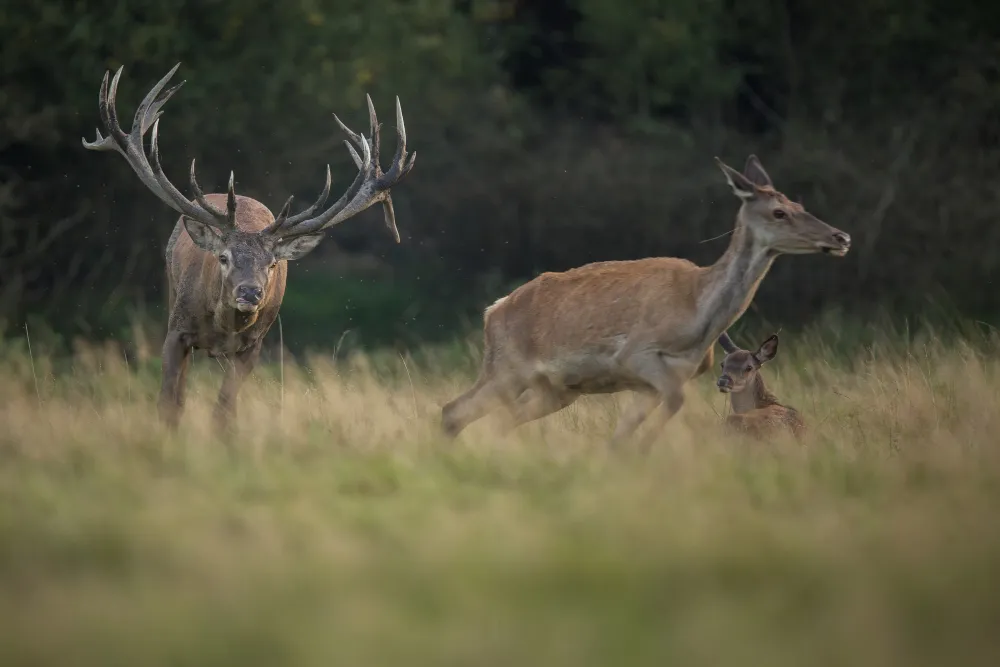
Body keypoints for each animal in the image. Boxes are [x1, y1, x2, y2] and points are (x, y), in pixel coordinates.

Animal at [81, 65, 418, 436]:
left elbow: (225, 412)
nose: (250, 293)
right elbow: (168, 403)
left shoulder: (252, 347)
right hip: (170, 291)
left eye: (272, 264)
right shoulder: (176, 331)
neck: (221, 326)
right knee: (179, 391)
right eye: (223, 257)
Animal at [442, 155, 848, 448]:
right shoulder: (636, 354)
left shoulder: (657, 381)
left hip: (555, 389)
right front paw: (646, 447)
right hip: (507, 367)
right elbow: (674, 404)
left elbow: (625, 432)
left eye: (799, 203)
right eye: (780, 212)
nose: (841, 237)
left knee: (498, 419)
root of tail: (493, 311)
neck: (696, 319)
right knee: (454, 410)